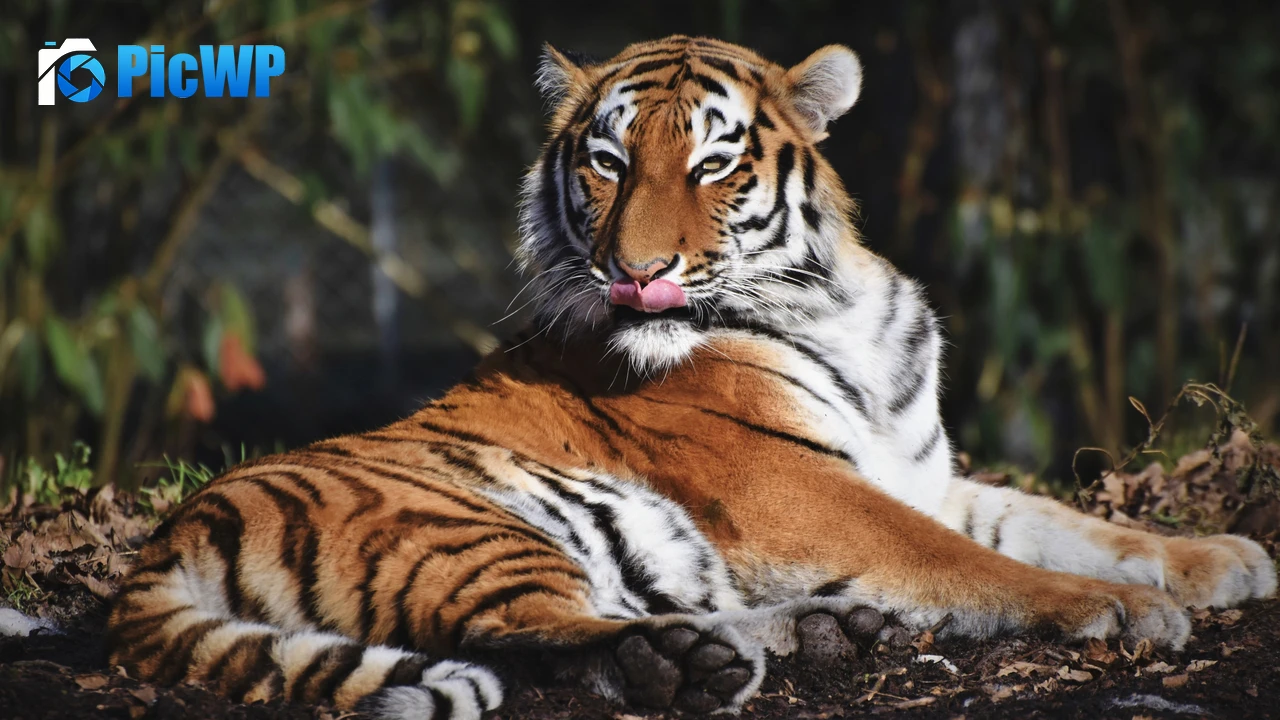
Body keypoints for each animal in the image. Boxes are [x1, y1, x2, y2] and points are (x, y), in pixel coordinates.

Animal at [108, 36, 1276, 720]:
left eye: (713, 163)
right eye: (607, 162)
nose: (636, 270)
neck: (835, 304)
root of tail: (161, 545)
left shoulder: (915, 473)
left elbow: (1060, 523)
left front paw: (1218, 559)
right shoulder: (794, 489)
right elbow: (975, 563)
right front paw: (1119, 611)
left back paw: (806, 634)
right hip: (462, 523)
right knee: (528, 633)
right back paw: (694, 665)